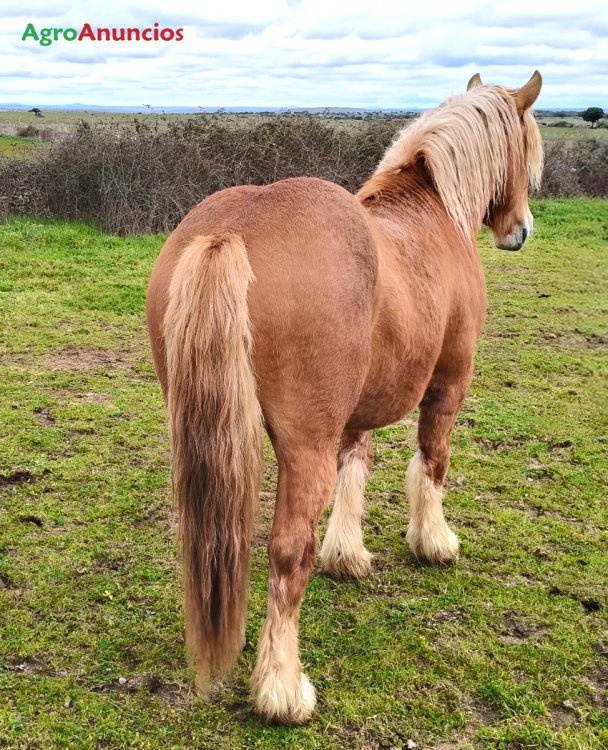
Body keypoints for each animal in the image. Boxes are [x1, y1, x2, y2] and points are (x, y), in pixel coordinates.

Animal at [146, 71, 543, 724]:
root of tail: (234, 228)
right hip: (303, 445)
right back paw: (283, 688)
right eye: (527, 151)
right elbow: (432, 463)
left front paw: (347, 554)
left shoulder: (357, 411)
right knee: (287, 552)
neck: (432, 210)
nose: (521, 230)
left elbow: (357, 467)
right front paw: (433, 541)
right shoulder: (450, 384)